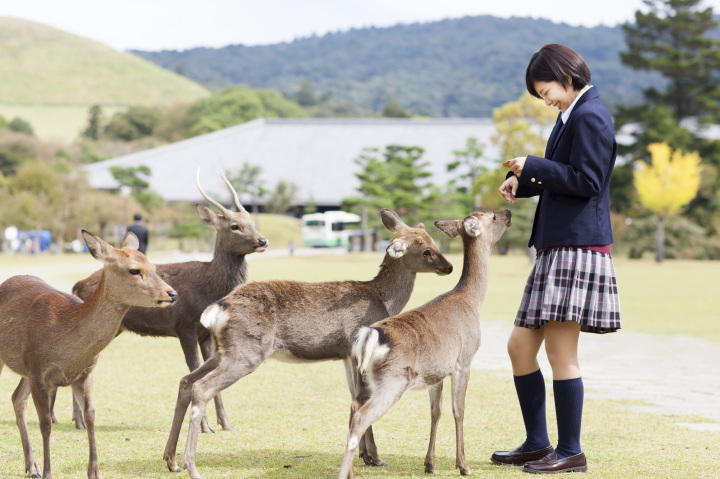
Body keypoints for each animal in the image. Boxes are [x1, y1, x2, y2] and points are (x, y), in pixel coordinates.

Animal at [0, 231, 177, 478]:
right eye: (134, 270)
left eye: (153, 266)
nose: (172, 293)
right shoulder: (38, 371)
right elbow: (46, 423)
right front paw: (48, 472)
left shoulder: (86, 372)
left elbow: (91, 415)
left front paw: (93, 471)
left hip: (24, 368)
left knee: (17, 398)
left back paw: (31, 466)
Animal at [62, 170, 268, 436]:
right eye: (235, 225)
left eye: (252, 220)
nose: (262, 241)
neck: (209, 288)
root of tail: (77, 285)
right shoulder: (184, 326)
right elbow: (193, 369)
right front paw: (205, 426)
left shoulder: (207, 334)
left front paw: (225, 423)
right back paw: (77, 421)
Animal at [164, 209, 456, 479]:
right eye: (427, 250)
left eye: (434, 242)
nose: (450, 267)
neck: (383, 301)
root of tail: (218, 308)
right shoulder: (355, 350)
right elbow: (361, 399)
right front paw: (374, 457)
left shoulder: (346, 355)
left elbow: (354, 397)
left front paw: (367, 456)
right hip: (246, 352)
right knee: (202, 387)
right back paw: (192, 467)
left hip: (224, 350)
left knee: (186, 381)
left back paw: (171, 460)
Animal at [338, 210, 512, 479]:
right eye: (493, 217)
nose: (509, 212)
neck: (473, 302)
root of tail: (368, 337)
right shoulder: (464, 361)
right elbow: (459, 410)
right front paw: (463, 465)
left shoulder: (437, 371)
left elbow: (435, 412)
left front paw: (429, 464)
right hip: (393, 381)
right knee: (361, 417)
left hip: (361, 378)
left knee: (353, 408)